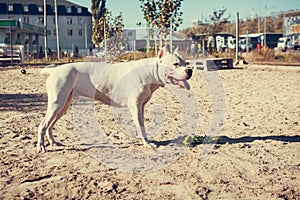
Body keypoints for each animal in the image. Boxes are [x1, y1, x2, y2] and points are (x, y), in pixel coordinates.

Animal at [37, 48, 192, 152]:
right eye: (176, 64)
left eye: (186, 63)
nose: (190, 70)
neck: (150, 72)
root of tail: (54, 70)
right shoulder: (135, 106)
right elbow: (140, 126)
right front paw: (146, 144)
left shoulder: (140, 106)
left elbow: (141, 126)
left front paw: (144, 141)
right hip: (56, 104)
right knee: (43, 125)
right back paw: (41, 147)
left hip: (63, 105)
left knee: (49, 125)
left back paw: (53, 142)